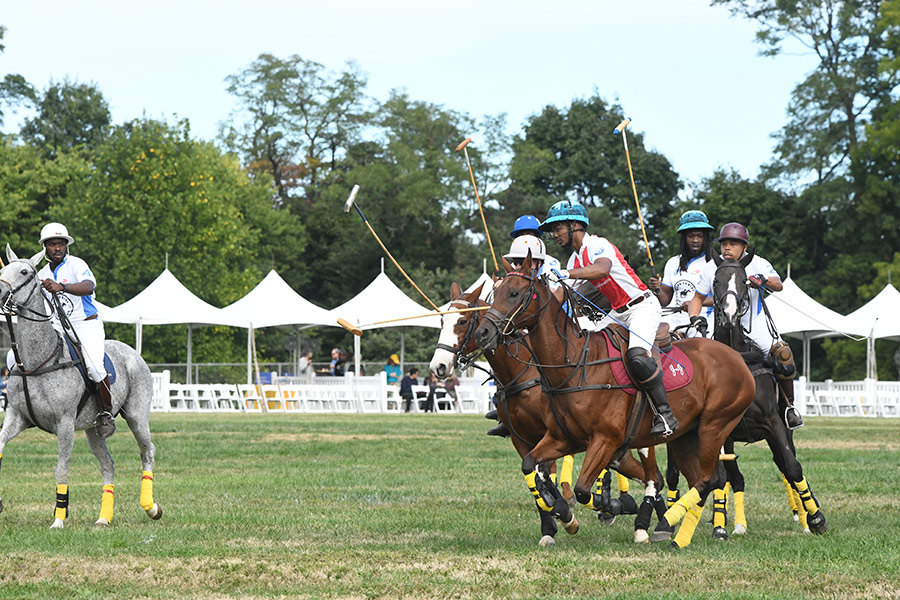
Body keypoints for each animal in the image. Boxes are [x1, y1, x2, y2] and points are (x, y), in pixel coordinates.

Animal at [0, 246, 160, 528]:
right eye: (3, 270)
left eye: (25, 272)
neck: (38, 360)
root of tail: (133, 351)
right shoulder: (16, 417)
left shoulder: (64, 423)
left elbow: (62, 469)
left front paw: (58, 520)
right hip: (93, 430)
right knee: (108, 464)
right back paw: (103, 518)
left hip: (137, 416)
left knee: (147, 451)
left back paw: (151, 507)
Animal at [428, 282, 668, 544]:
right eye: (442, 321)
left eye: (462, 321)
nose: (438, 366)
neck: (522, 372)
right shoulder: (521, 438)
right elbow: (534, 478)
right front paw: (552, 525)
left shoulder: (550, 433)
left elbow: (545, 475)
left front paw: (564, 512)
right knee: (647, 474)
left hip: (642, 437)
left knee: (653, 475)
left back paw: (647, 522)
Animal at [474, 254, 756, 548]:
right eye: (494, 294)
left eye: (514, 293)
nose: (483, 333)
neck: (575, 365)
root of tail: (736, 357)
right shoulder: (562, 438)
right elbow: (532, 466)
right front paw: (563, 513)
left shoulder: (605, 439)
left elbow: (583, 490)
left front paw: (617, 506)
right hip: (686, 435)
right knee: (701, 479)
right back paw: (670, 528)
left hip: (715, 425)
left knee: (707, 478)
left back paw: (672, 526)